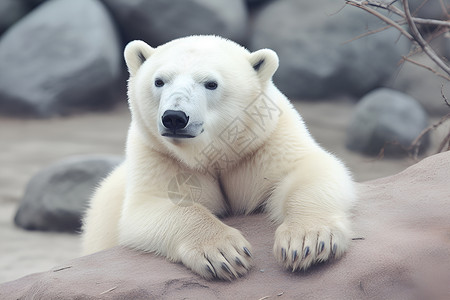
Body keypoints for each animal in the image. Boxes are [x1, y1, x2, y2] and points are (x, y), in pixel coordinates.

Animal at [81, 35, 356, 282]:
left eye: (211, 83)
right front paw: (225, 253)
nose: (174, 117)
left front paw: (308, 242)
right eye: (159, 81)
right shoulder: (159, 154)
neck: (214, 152)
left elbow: (310, 171)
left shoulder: (265, 140)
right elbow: (153, 206)